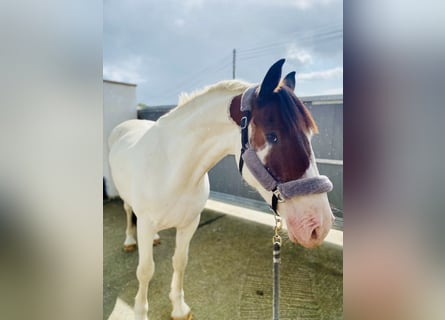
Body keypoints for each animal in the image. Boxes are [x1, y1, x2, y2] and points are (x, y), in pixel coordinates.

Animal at [108, 58, 332, 318]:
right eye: (272, 136)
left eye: (309, 136)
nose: (319, 226)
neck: (173, 169)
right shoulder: (145, 224)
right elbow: (145, 271)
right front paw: (141, 311)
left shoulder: (189, 224)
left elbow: (180, 261)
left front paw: (179, 308)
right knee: (127, 212)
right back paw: (128, 241)